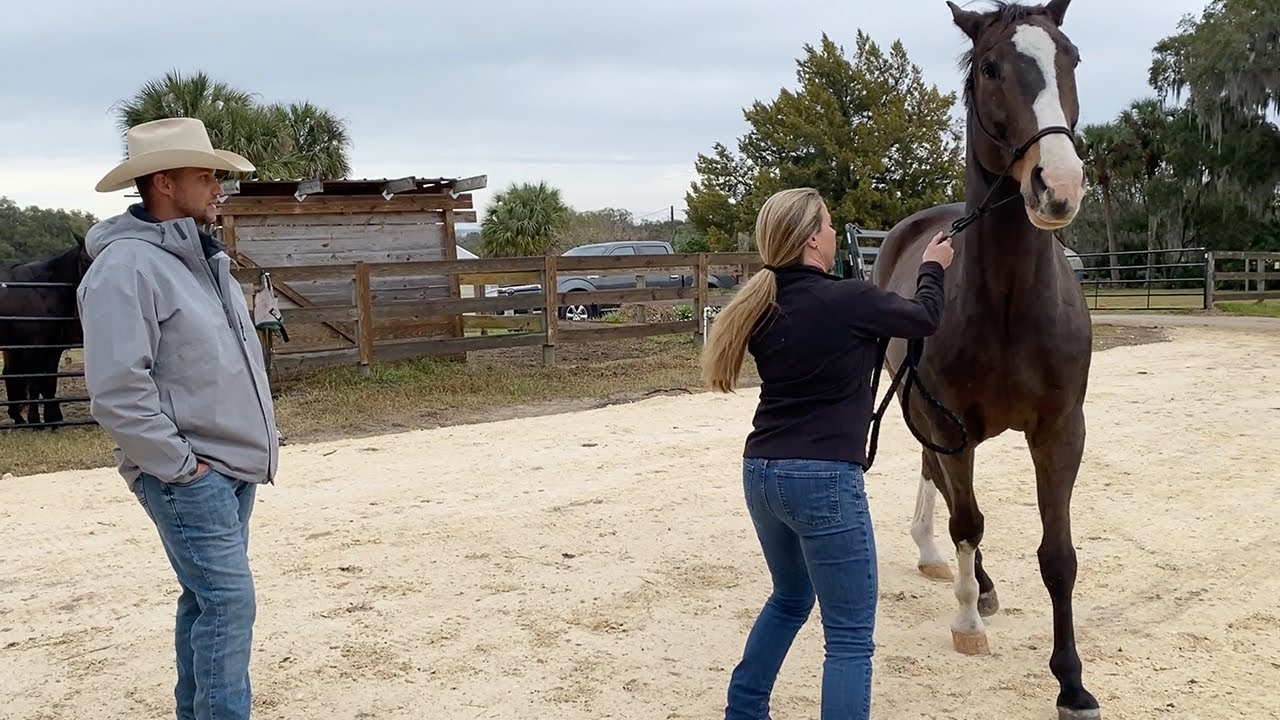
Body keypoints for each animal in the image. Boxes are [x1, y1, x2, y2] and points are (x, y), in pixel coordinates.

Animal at [0, 233, 93, 427]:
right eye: (85, 259)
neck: (42, 289)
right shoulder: (36, 346)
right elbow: (37, 382)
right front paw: (37, 420)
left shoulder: (52, 346)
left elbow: (49, 380)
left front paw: (51, 419)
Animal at [870, 1, 1098, 718]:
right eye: (992, 67)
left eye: (1070, 57)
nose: (1058, 184)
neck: (1008, 304)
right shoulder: (951, 425)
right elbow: (967, 520)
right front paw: (967, 620)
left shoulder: (1060, 431)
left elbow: (1059, 556)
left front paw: (1072, 682)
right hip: (921, 410)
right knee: (946, 492)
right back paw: (957, 571)